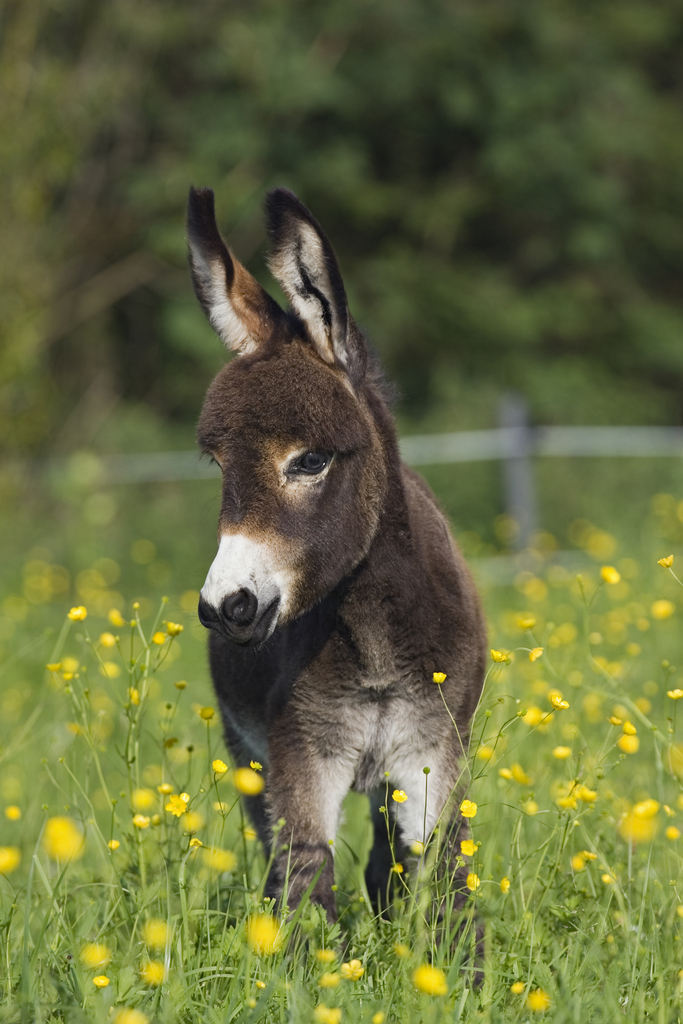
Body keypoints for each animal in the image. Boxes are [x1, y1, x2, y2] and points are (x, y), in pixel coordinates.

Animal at [187, 186, 485, 929]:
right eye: (218, 465)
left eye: (310, 461)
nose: (226, 607)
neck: (373, 635)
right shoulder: (299, 753)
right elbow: (306, 883)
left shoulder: (432, 749)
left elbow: (448, 880)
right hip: (249, 758)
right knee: (277, 857)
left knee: (386, 857)